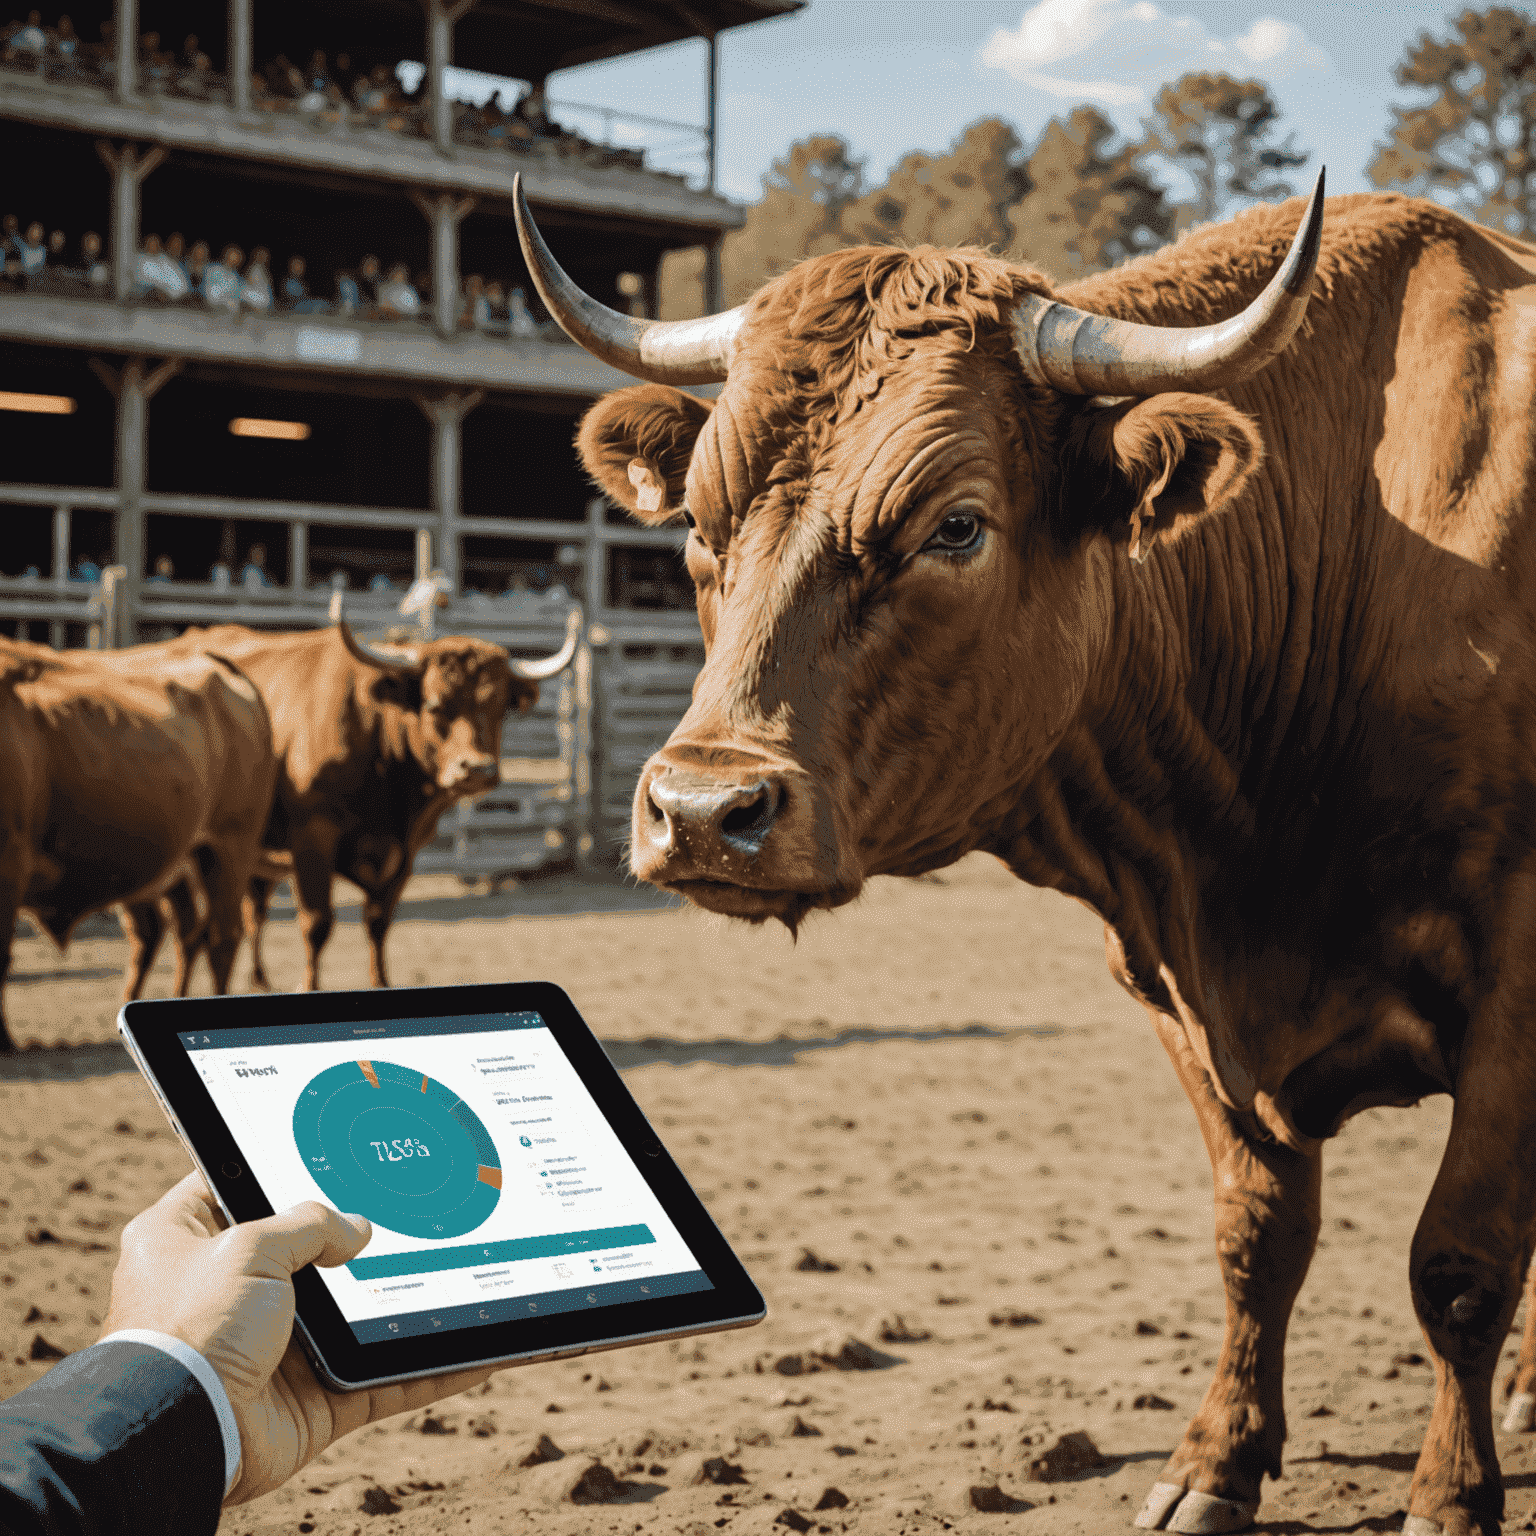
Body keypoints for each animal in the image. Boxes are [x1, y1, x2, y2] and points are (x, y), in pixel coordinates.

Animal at [1, 638, 276, 1056]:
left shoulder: (10, 864)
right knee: (172, 933)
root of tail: (216, 662)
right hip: (176, 866)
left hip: (228, 850)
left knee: (220, 938)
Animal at [122, 599, 577, 995]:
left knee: (235, 919)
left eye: (501, 707)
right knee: (189, 930)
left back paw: (257, 980)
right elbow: (317, 922)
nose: (478, 769)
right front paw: (308, 986)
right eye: (434, 705)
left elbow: (377, 921)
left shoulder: (406, 851)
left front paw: (381, 983)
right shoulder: (313, 837)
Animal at [509, 179, 1536, 1536]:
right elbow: (1256, 1236)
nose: (701, 807)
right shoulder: (1176, 987)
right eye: (698, 523)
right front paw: (1216, 1461)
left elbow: (1460, 1263)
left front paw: (1451, 1491)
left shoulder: (1514, 989)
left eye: (956, 526)